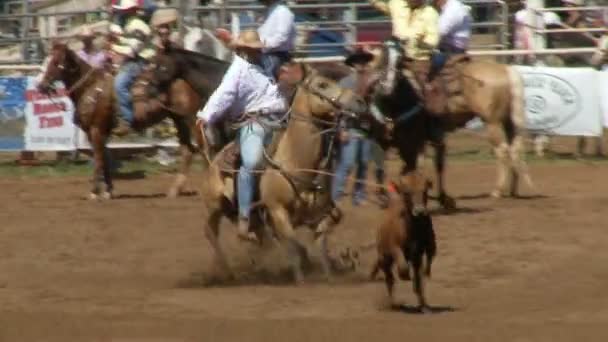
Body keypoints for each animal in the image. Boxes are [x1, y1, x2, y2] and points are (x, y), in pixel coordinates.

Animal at [36, 41, 202, 199]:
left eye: (55, 62)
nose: (41, 86)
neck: (91, 88)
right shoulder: (99, 132)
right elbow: (105, 159)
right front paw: (108, 191)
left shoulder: (96, 130)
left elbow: (99, 159)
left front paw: (94, 192)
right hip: (179, 120)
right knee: (188, 151)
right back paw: (174, 190)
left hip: (190, 120)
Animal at [368, 41, 536, 204]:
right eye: (382, 60)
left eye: (399, 62)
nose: (385, 86)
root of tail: (506, 70)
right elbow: (426, 162)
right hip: (509, 122)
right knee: (514, 149)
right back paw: (513, 190)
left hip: (491, 122)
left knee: (502, 151)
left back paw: (497, 191)